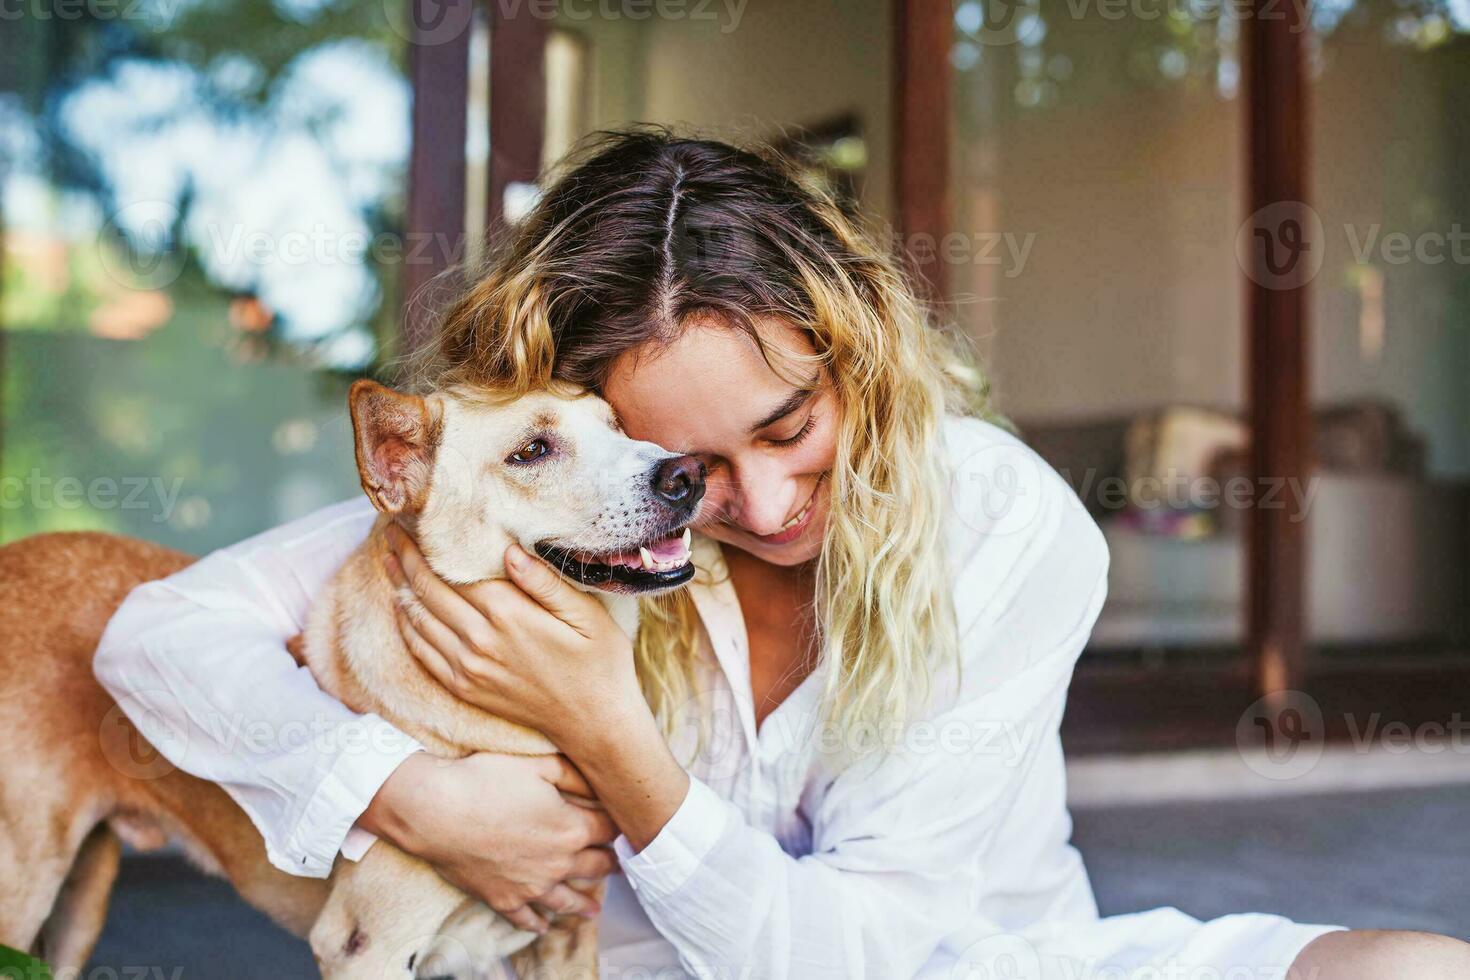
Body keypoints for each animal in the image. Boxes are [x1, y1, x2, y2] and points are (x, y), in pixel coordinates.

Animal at [0, 379, 705, 975]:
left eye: (619, 426)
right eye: (531, 451)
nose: (687, 473)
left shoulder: (564, 937)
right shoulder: (364, 946)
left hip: (79, 903)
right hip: (24, 890)